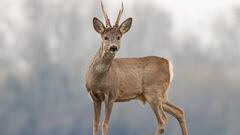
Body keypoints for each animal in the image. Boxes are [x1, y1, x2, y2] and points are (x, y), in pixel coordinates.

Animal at [85, 2, 188, 135]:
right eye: (105, 37)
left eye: (119, 37)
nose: (113, 47)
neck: (98, 80)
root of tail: (167, 63)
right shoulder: (94, 98)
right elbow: (95, 125)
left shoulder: (112, 94)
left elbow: (104, 124)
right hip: (162, 95)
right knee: (179, 111)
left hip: (153, 92)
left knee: (163, 120)